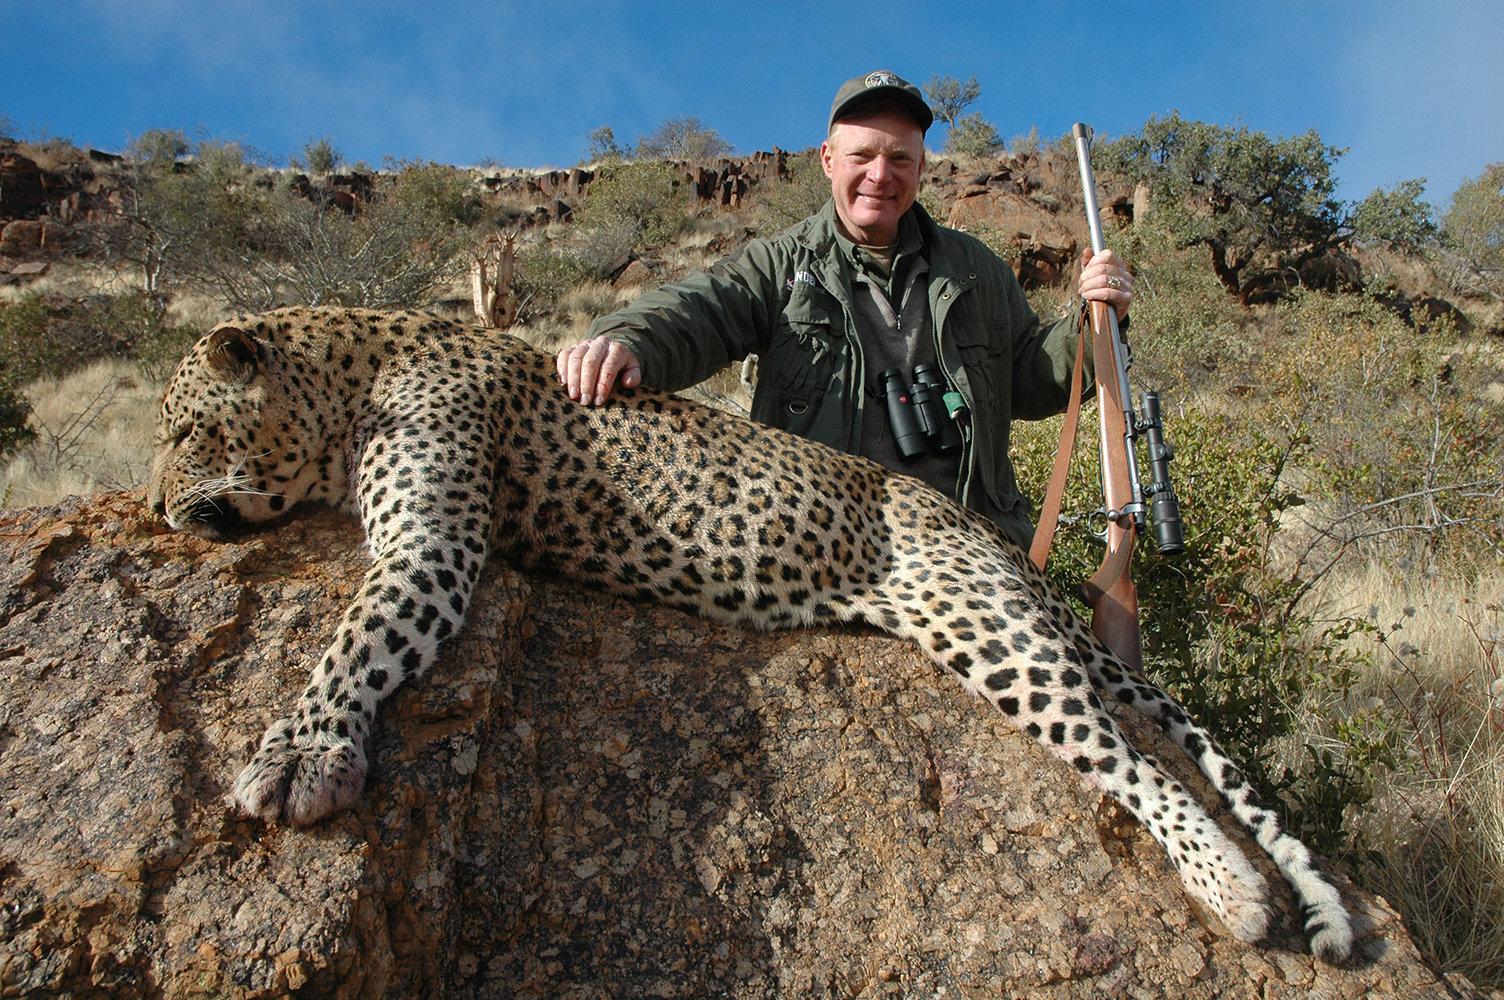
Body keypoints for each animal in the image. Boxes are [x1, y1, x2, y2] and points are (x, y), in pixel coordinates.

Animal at [148, 305, 1354, 962]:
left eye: (182, 431)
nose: (156, 506)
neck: (353, 370)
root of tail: (996, 543)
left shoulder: (433, 549)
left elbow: (353, 639)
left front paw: (298, 752)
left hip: (981, 624)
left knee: (1131, 758)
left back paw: (1233, 890)